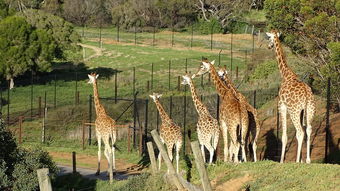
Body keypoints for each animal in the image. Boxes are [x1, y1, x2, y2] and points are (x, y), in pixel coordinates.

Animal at [266, 31, 316, 163]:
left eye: (269, 38)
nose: (269, 46)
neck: (286, 74)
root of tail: (307, 94)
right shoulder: (302, 111)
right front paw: (303, 159)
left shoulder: (282, 106)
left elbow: (284, 136)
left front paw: (281, 161)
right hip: (310, 110)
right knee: (308, 129)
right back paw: (307, 160)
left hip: (294, 111)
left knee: (300, 131)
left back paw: (297, 161)